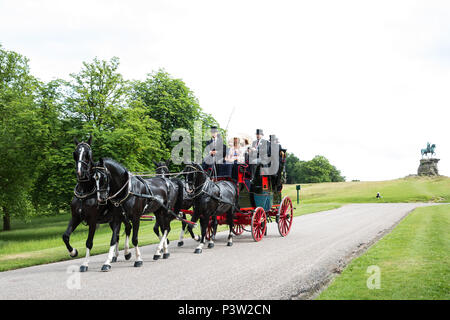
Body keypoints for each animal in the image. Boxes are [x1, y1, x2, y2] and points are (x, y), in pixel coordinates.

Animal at [63, 137, 134, 272]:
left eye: (88, 154)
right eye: (75, 154)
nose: (80, 172)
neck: (85, 191)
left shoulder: (93, 220)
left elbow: (89, 242)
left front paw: (85, 264)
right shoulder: (75, 217)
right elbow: (65, 236)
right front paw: (73, 252)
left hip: (123, 216)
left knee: (128, 228)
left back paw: (127, 252)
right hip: (112, 220)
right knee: (117, 235)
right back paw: (114, 256)